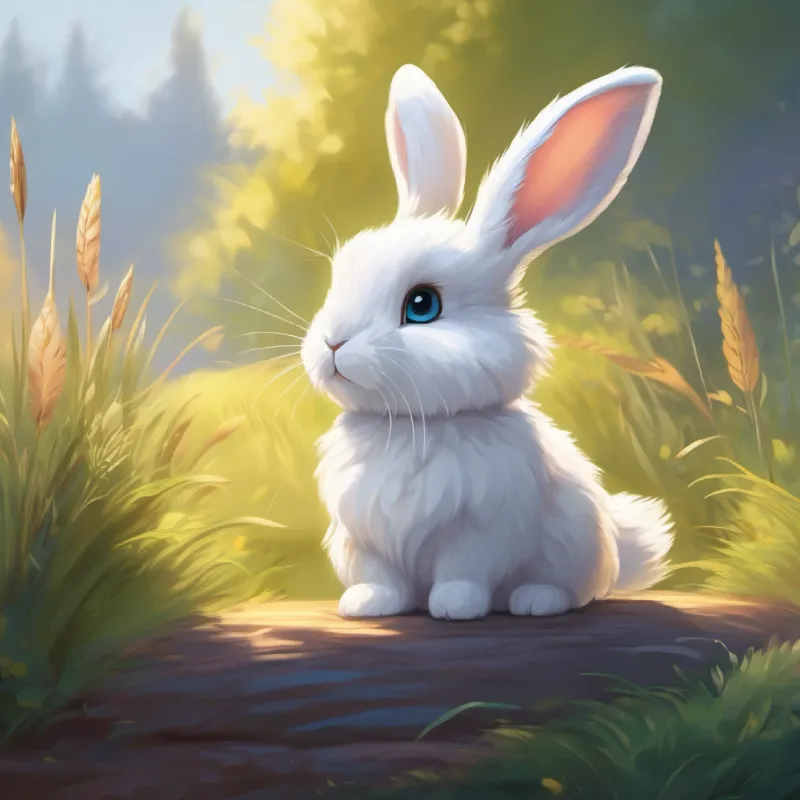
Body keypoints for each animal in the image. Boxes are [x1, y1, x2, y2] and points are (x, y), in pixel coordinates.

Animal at [301, 63, 674, 620]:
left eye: (422, 305)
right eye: (339, 276)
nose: (332, 344)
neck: (411, 426)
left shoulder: (484, 530)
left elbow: (465, 570)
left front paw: (456, 607)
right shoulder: (361, 537)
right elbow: (380, 576)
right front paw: (367, 605)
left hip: (575, 543)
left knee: (572, 588)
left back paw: (535, 601)